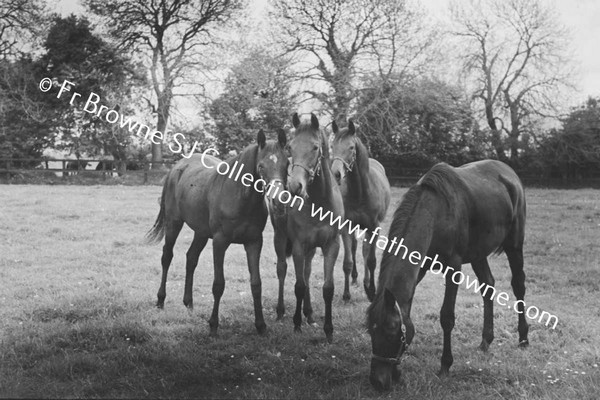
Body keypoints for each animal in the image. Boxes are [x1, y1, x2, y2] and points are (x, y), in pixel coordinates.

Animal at [144, 130, 288, 334]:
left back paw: (189, 303)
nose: (279, 201)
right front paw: (213, 324)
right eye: (261, 166)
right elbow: (218, 284)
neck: (240, 198)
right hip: (174, 224)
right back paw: (160, 301)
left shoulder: (254, 243)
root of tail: (176, 168)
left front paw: (260, 325)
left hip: (201, 233)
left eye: (287, 164)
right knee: (167, 257)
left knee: (191, 258)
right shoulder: (220, 242)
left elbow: (256, 283)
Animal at [284, 111, 342, 340]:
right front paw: (296, 324)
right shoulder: (299, 246)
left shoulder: (332, 246)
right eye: (290, 147)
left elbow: (328, 288)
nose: (295, 186)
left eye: (315, 147)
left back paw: (309, 314)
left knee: (308, 273)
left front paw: (329, 330)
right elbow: (299, 286)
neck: (319, 203)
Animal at [330, 120, 392, 302]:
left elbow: (371, 260)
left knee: (365, 253)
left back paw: (365, 282)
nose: (336, 174)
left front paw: (371, 291)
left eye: (351, 147)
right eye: (332, 145)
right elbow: (347, 262)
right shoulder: (345, 226)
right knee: (355, 248)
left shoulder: (374, 228)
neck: (360, 192)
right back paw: (356, 279)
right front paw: (346, 294)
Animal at [366, 160, 528, 390]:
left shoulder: (454, 267)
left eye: (391, 329)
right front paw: (397, 372)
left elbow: (447, 317)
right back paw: (486, 340)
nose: (377, 381)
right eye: (370, 330)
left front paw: (445, 365)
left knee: (518, 286)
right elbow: (406, 308)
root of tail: (508, 171)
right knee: (488, 286)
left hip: (514, 245)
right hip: (478, 254)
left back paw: (523, 337)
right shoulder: (420, 267)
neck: (435, 213)